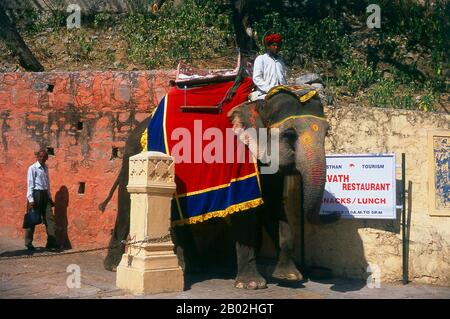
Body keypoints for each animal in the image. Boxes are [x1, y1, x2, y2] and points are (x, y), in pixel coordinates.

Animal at [98, 85, 338, 290]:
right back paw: (113, 266)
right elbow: (246, 212)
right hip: (131, 157)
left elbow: (274, 207)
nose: (334, 213)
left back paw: (194, 267)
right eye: (289, 134)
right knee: (126, 206)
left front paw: (290, 277)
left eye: (327, 133)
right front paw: (252, 285)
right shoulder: (239, 164)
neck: (256, 106)